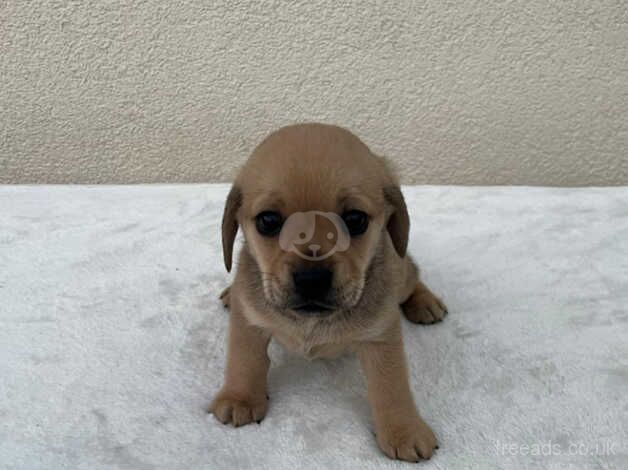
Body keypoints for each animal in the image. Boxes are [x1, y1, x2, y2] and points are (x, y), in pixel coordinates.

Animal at [211, 122, 446, 462]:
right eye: (268, 221)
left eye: (355, 219)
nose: (312, 279)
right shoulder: (249, 322)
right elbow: (244, 360)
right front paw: (240, 397)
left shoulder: (382, 336)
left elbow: (391, 385)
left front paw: (405, 431)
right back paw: (232, 292)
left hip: (401, 276)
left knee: (412, 273)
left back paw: (425, 302)